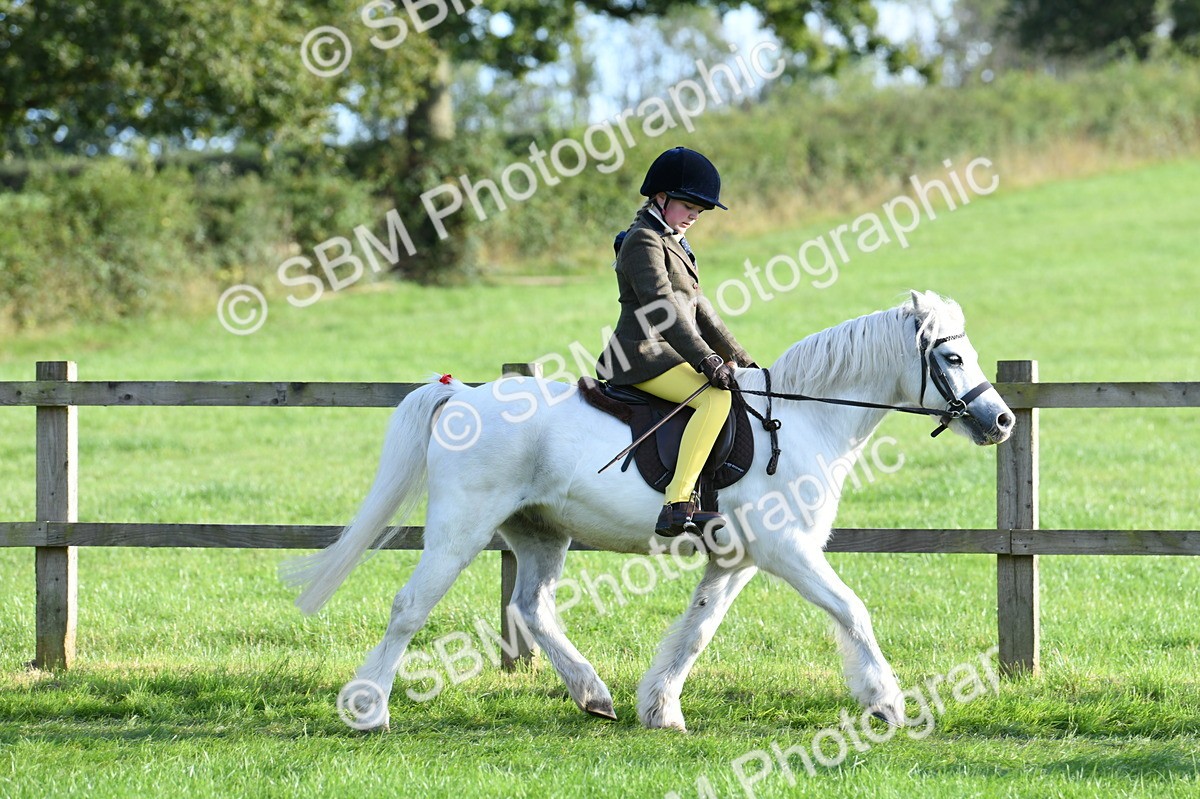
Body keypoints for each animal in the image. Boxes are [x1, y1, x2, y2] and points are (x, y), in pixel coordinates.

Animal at [283, 290, 1014, 732]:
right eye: (952, 355)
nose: (1002, 420)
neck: (806, 418)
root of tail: (461, 394)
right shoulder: (788, 551)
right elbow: (852, 610)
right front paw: (886, 702)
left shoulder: (738, 560)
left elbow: (697, 629)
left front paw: (660, 707)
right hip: (459, 531)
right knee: (411, 607)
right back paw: (368, 709)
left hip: (540, 533)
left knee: (532, 607)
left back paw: (593, 694)